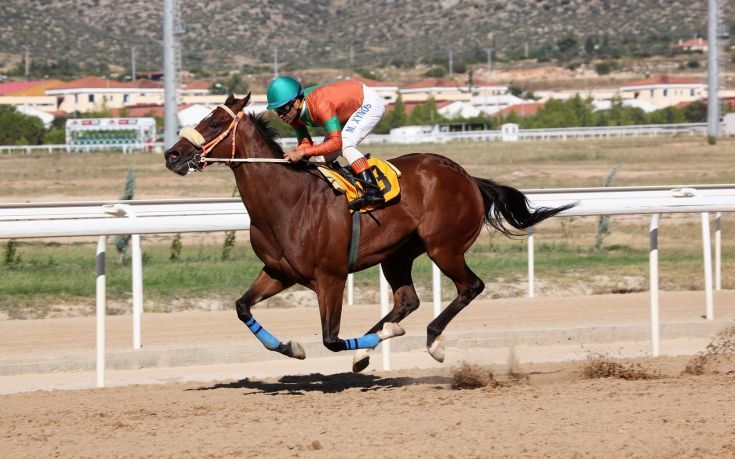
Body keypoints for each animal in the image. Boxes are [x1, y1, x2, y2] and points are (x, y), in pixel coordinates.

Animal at [167, 94, 576, 374]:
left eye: (214, 124)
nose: (172, 155)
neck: (289, 201)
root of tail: (467, 177)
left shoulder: (330, 277)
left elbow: (331, 340)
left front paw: (386, 337)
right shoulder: (279, 272)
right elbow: (242, 307)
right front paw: (292, 347)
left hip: (444, 247)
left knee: (469, 287)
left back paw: (432, 342)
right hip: (397, 255)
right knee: (407, 300)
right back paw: (368, 351)